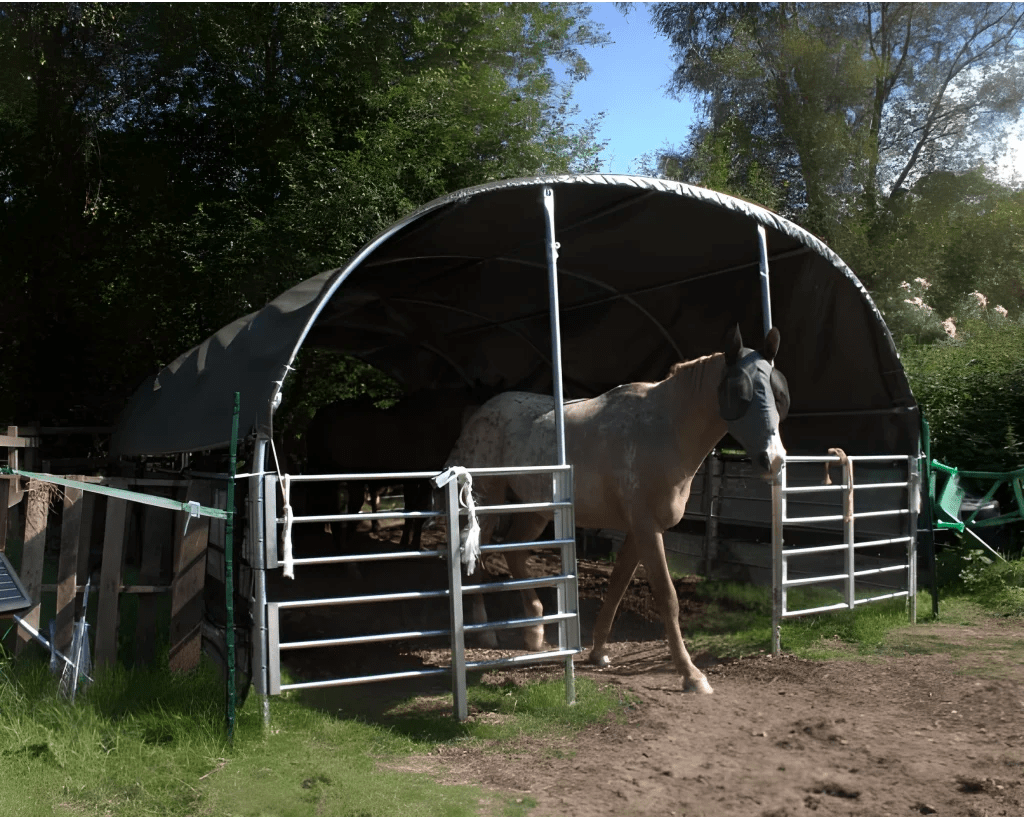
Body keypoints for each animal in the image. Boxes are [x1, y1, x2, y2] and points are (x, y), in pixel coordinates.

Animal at [444, 325, 786, 692]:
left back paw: (534, 632)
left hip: (537, 510)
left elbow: (617, 588)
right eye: (740, 391)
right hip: (489, 504)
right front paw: (691, 674)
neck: (664, 429)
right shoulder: (647, 528)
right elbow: (667, 597)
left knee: (515, 552)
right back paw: (488, 632)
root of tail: (479, 413)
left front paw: (598, 653)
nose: (774, 459)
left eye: (779, 392)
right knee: (479, 555)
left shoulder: (639, 531)